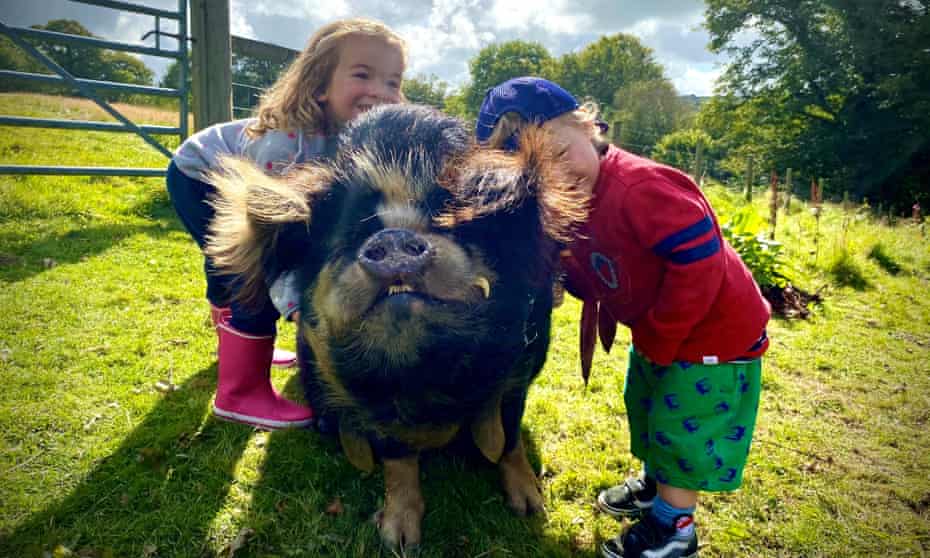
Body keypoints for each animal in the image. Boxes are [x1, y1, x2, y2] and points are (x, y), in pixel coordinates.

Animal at [208, 105, 592, 552]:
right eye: (354, 233)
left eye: (447, 223)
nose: (393, 238)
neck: (424, 378)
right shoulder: (372, 409)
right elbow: (398, 459)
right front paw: (398, 539)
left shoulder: (520, 372)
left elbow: (509, 437)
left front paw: (531, 508)